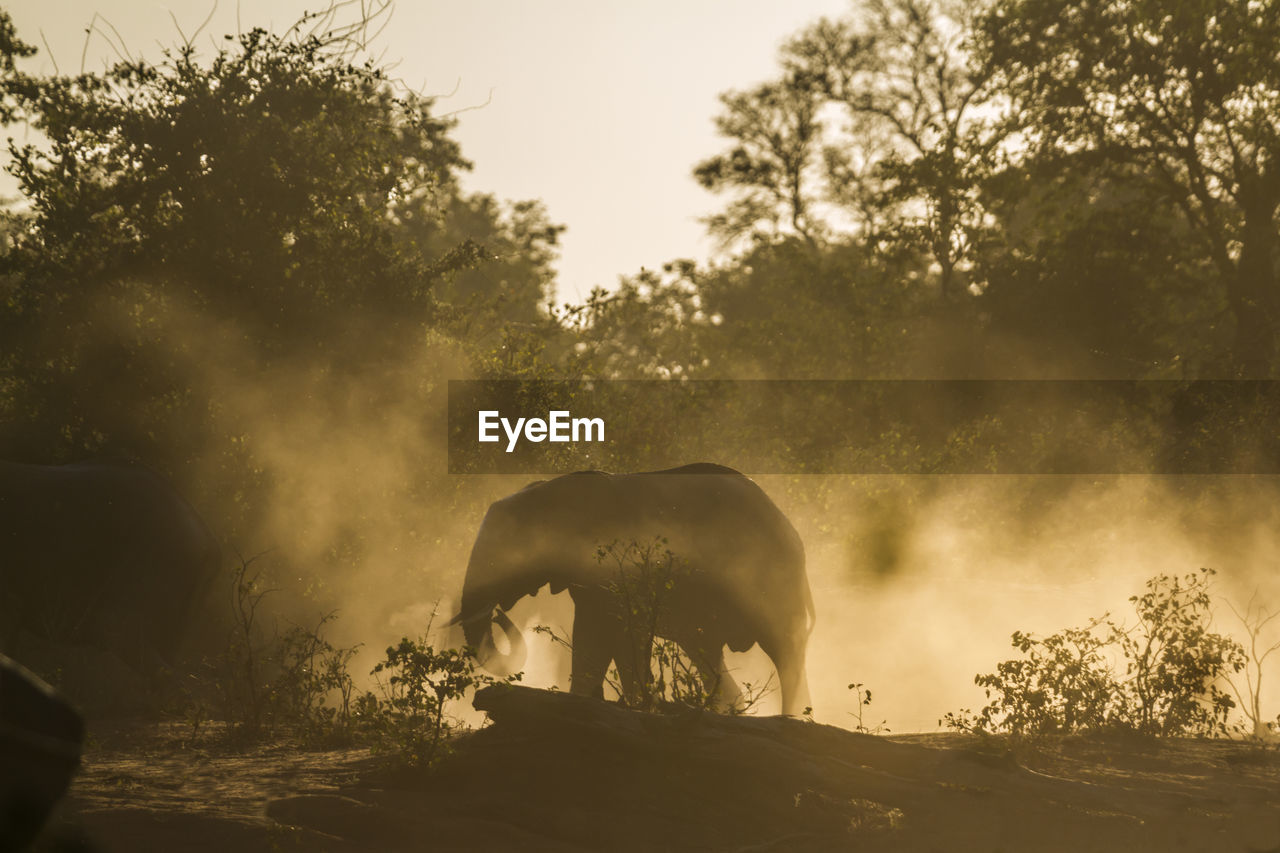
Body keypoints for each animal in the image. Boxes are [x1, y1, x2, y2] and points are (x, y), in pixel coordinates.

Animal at [450, 461, 808, 712]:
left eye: (504, 554)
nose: (498, 614)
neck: (552, 489)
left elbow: (624, 635)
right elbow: (592, 635)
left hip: (774, 579)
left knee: (786, 653)